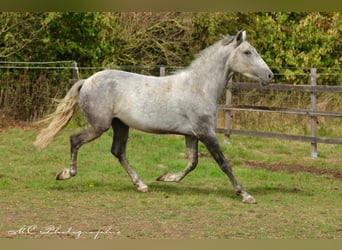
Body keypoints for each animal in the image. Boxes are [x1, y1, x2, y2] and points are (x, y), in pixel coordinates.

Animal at [34, 30, 274, 203]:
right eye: (247, 52)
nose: (270, 75)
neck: (199, 87)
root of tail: (87, 81)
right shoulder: (206, 133)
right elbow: (223, 163)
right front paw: (246, 195)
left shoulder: (193, 134)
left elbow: (192, 162)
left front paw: (166, 177)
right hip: (98, 126)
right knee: (75, 140)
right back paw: (66, 174)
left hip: (120, 125)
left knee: (118, 151)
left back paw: (141, 185)